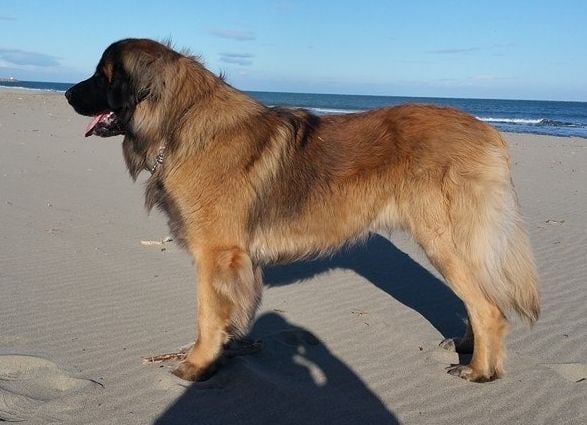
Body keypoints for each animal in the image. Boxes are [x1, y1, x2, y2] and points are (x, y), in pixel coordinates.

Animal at [65, 38, 539, 383]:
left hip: (443, 240)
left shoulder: (216, 254)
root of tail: (488, 132)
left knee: (488, 307)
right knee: (480, 298)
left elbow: (206, 314)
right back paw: (467, 346)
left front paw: (198, 365)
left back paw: (480, 370)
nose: (67, 93)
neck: (181, 120)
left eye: (102, 75)